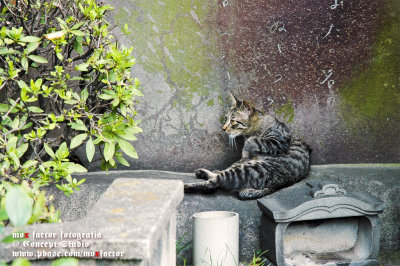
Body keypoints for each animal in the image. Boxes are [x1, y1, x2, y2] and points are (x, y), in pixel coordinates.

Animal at [184, 93, 312, 200]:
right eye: (226, 118)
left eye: (233, 121)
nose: (223, 128)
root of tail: (276, 185)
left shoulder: (277, 141)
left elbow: (253, 140)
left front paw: (247, 146)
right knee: (220, 175)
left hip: (246, 169)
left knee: (214, 183)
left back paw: (185, 185)